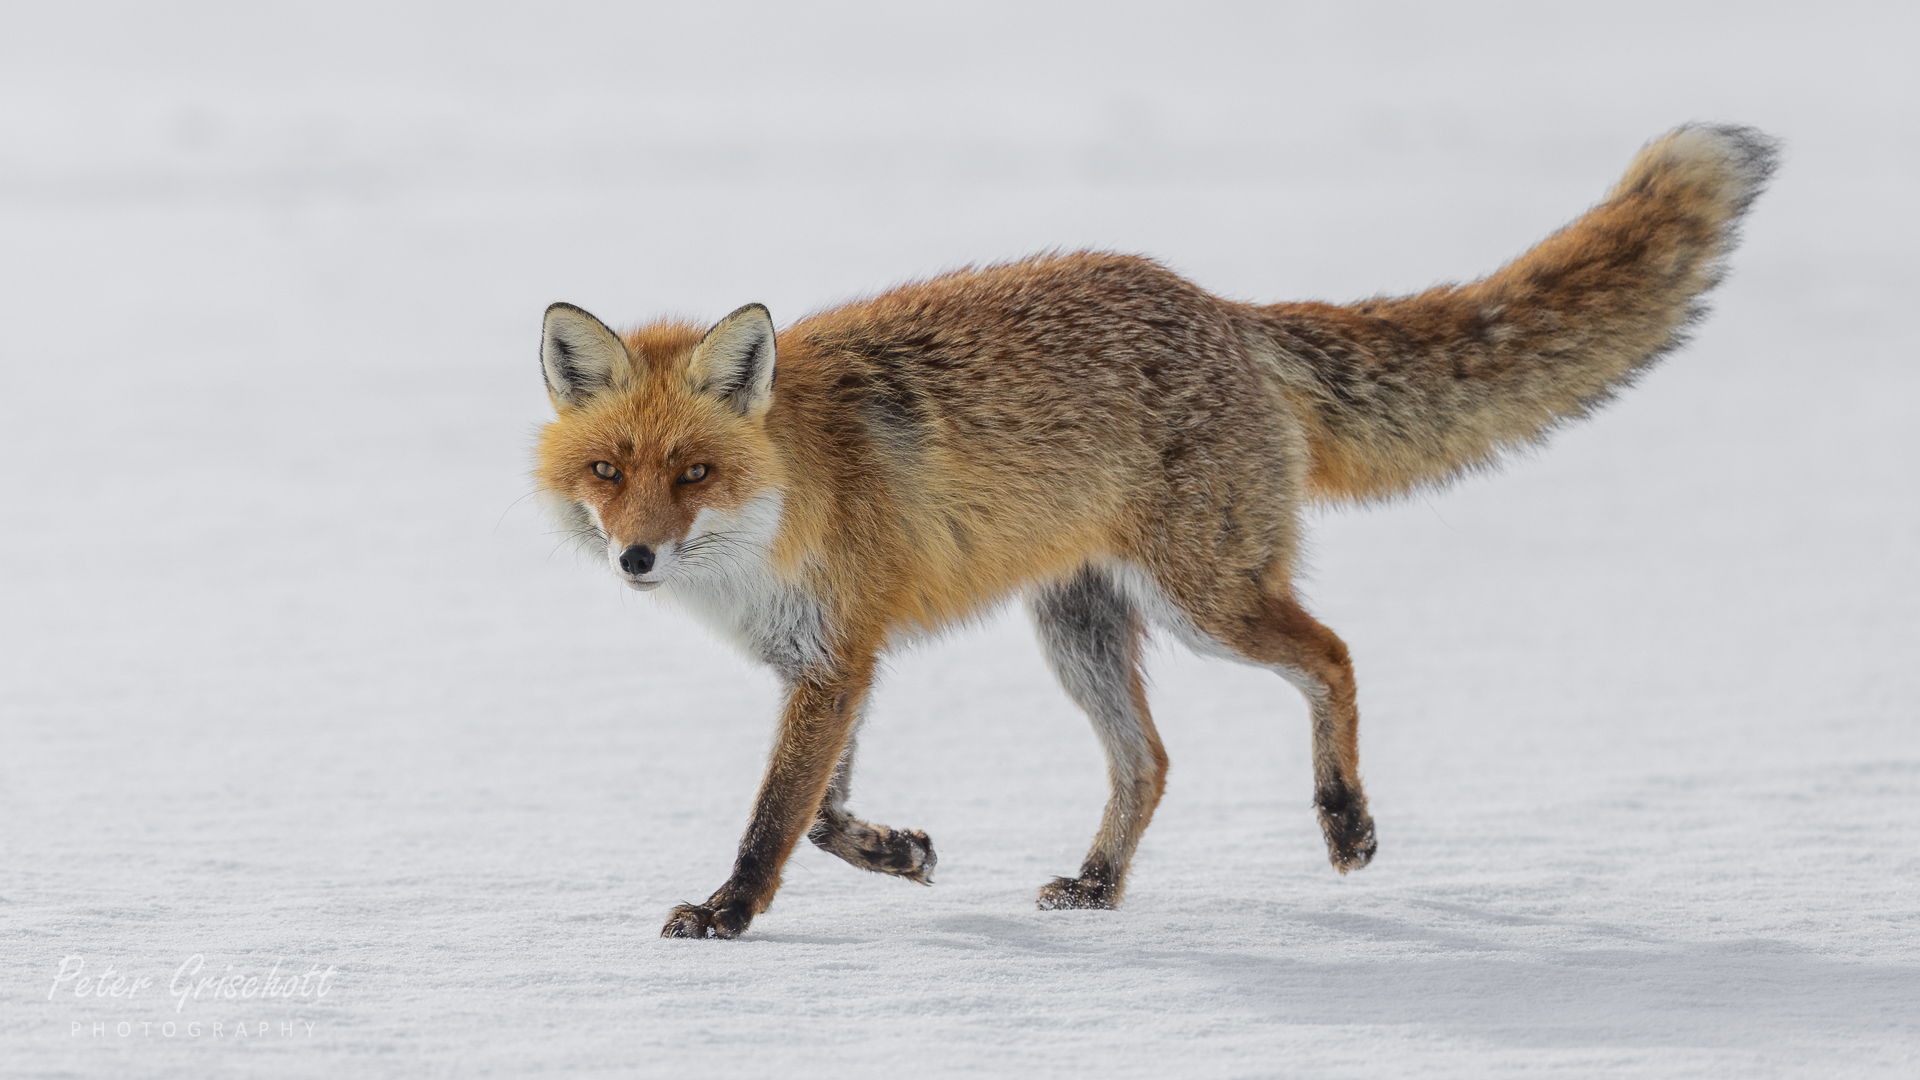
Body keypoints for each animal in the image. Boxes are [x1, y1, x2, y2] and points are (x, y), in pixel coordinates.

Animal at [533, 123, 1774, 933]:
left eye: (696, 472)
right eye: (609, 471)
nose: (637, 555)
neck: (787, 497)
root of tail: (1224, 309)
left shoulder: (838, 654)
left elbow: (775, 817)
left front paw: (729, 913)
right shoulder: (835, 658)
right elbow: (826, 816)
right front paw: (901, 853)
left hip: (1207, 603)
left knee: (1334, 656)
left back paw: (1344, 821)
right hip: (1078, 627)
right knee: (1153, 762)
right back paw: (1098, 886)